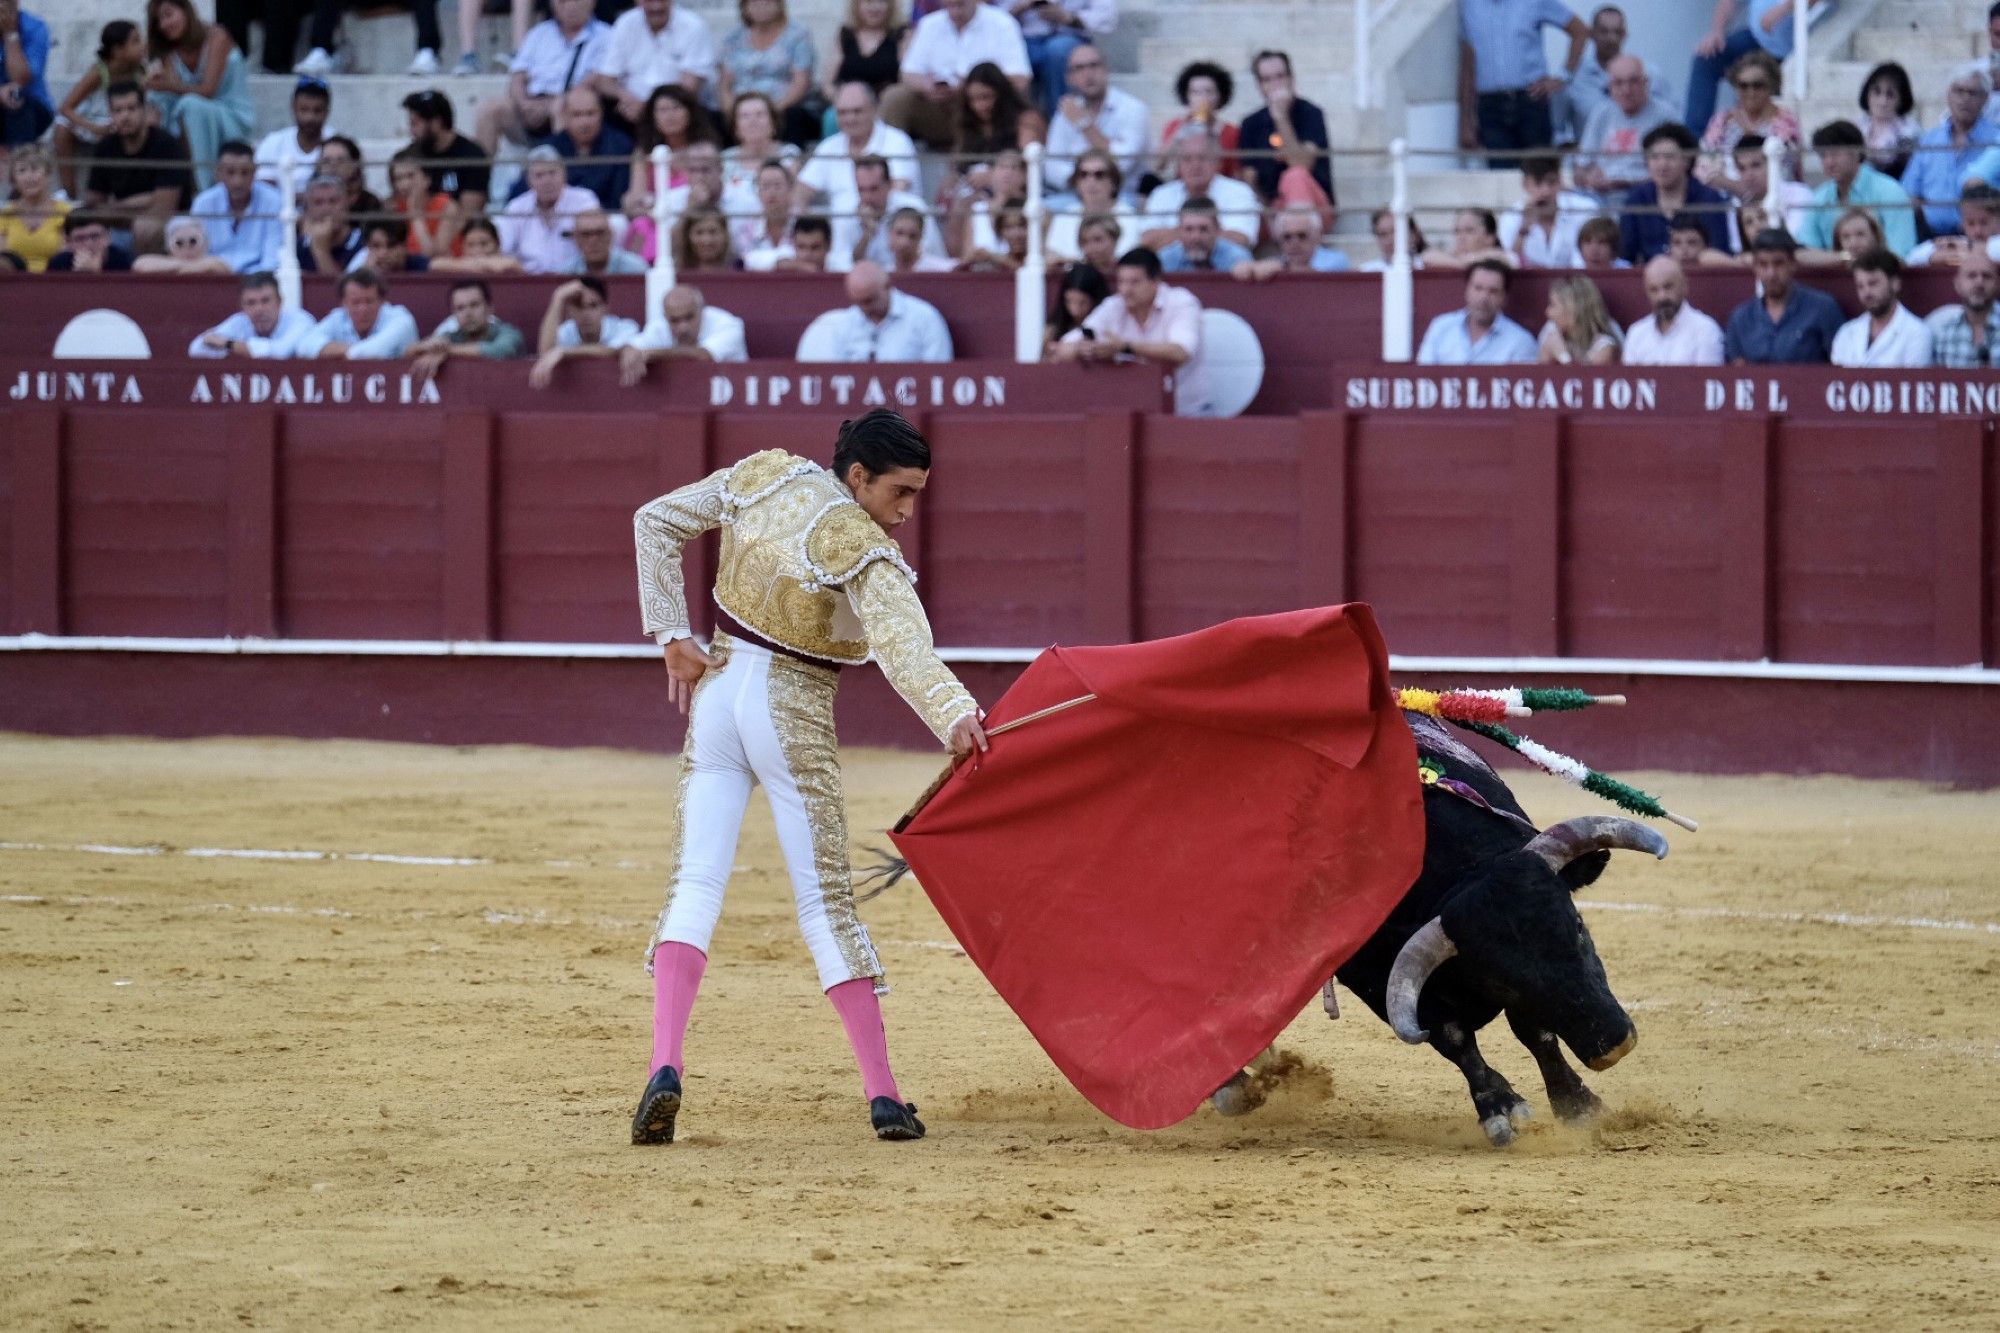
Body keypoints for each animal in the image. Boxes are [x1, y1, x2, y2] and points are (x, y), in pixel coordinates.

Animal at [1216, 704, 1672, 1144]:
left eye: (1578, 927)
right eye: (1502, 977)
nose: (1612, 1044)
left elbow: (1534, 1030)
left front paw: (1579, 1106)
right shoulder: (1378, 979)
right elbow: (1454, 1038)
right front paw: (1502, 1110)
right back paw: (1233, 1087)